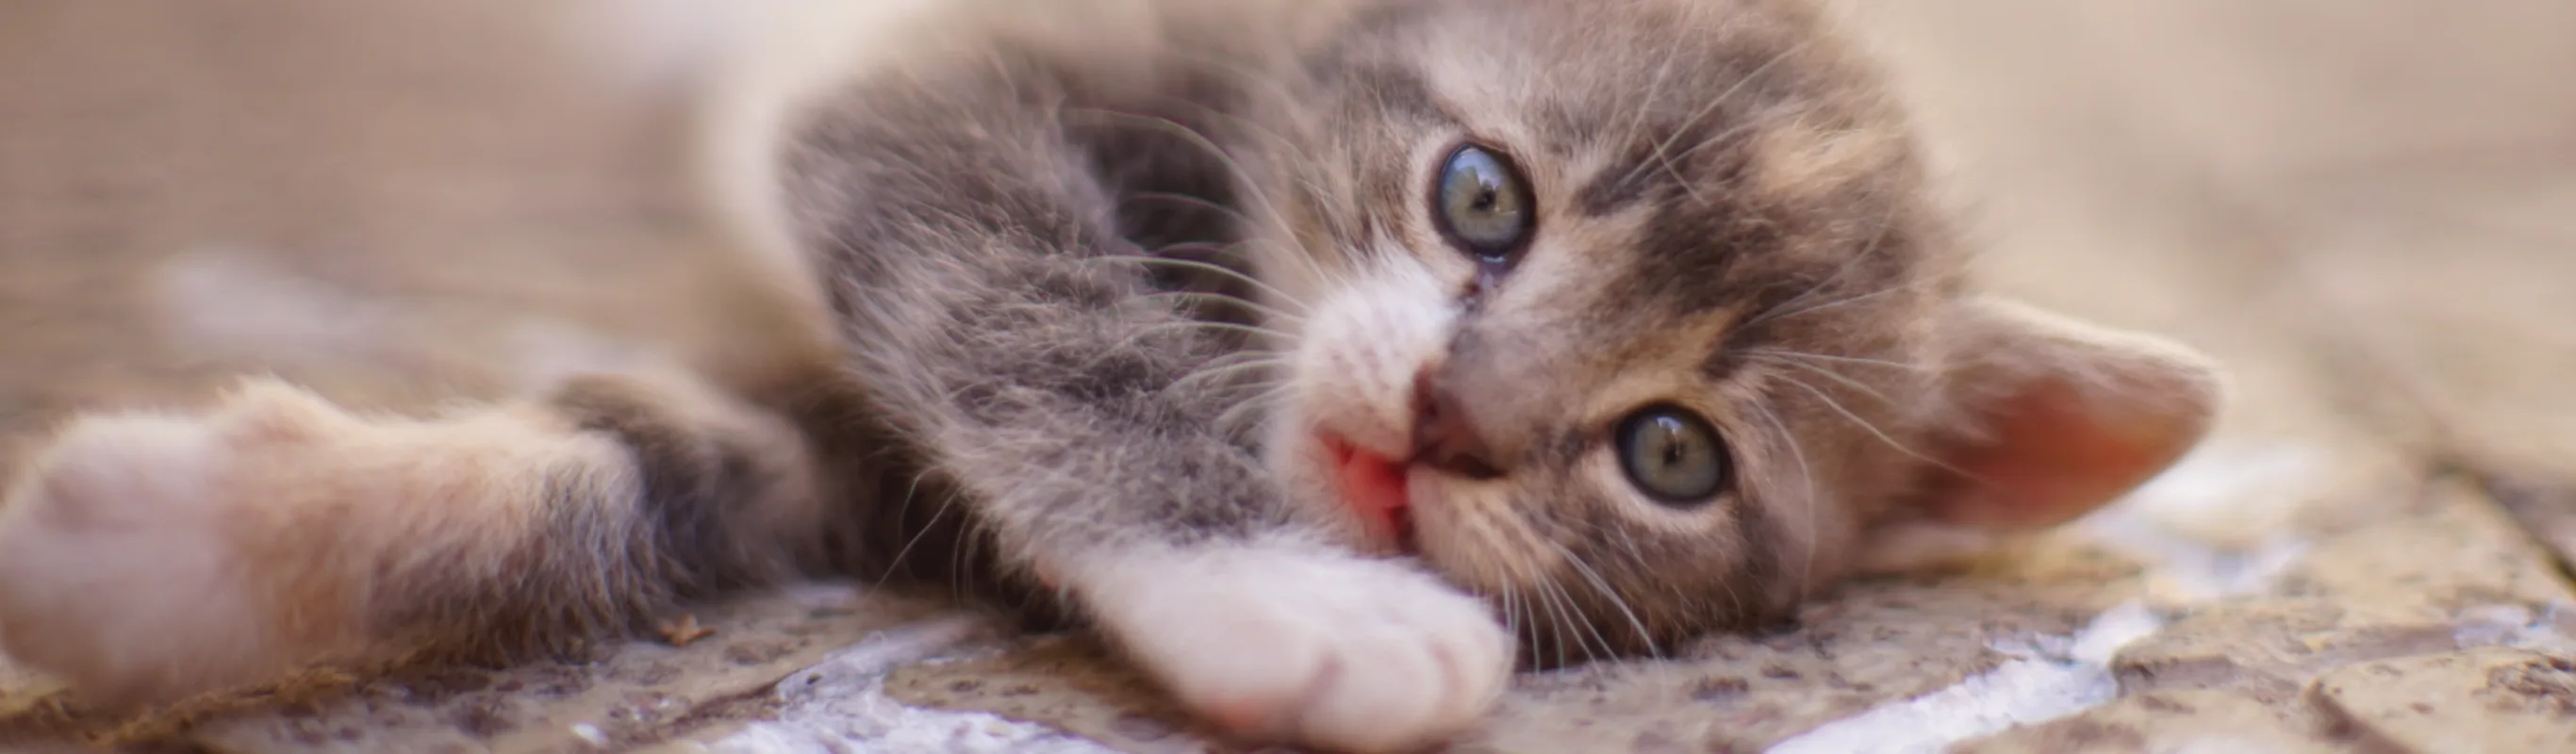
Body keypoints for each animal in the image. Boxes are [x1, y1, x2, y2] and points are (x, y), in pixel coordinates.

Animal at [0, 0, 2215, 746]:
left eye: (1669, 455)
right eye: (1480, 198)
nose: (1449, 429)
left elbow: (667, 456)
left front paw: (164, 547)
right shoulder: (926, 100)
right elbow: (1035, 320)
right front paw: (1292, 595)